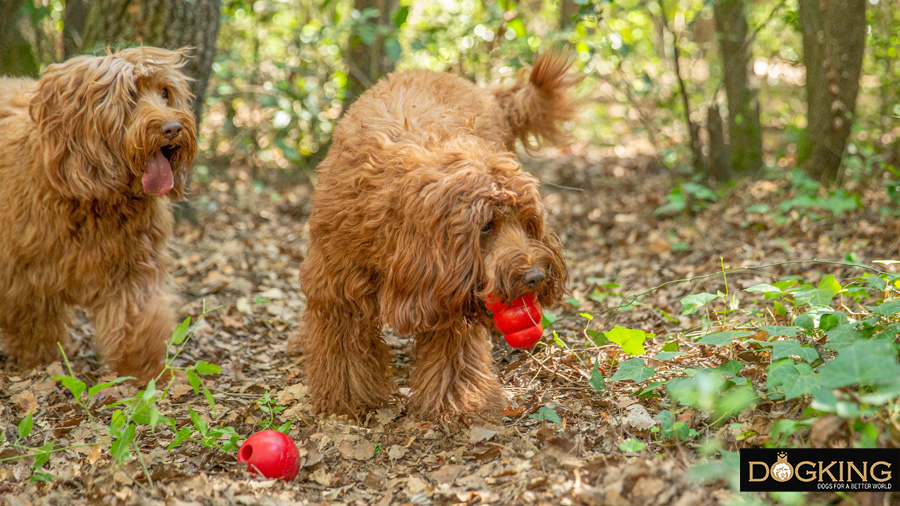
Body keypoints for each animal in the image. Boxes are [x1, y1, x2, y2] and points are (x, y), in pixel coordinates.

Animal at [0, 47, 196, 382]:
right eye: (131, 94)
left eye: (165, 92)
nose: (172, 128)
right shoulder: (25, 271)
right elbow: (33, 320)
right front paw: (40, 361)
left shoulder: (132, 265)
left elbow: (138, 319)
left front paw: (145, 371)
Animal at [292, 53, 580, 422]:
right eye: (486, 226)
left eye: (528, 223)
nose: (536, 277)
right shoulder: (339, 289)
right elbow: (343, 350)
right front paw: (347, 401)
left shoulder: (449, 292)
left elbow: (452, 356)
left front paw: (458, 404)